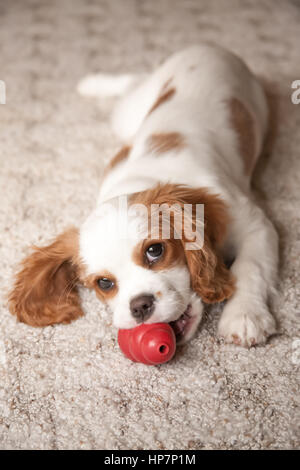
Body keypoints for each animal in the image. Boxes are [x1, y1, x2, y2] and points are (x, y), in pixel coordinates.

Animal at [8, 45, 278, 346]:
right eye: (104, 283)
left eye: (155, 250)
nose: (140, 306)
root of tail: (204, 46)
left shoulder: (254, 224)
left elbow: (250, 267)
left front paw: (245, 316)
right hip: (128, 118)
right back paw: (92, 83)